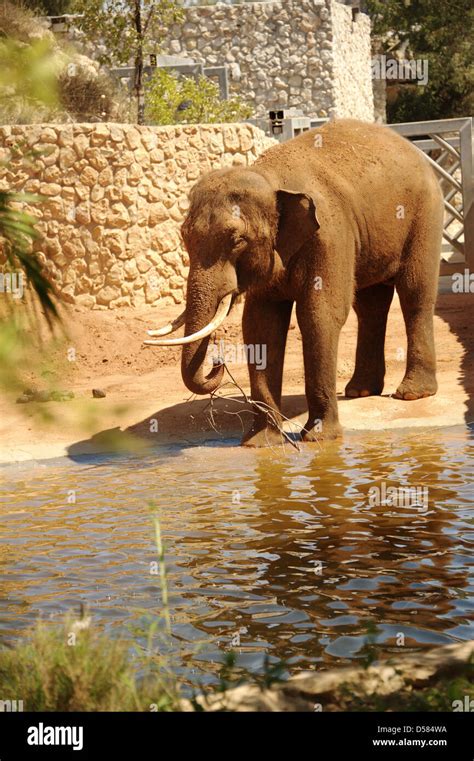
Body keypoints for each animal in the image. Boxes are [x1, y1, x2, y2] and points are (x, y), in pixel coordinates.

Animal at [144, 119, 444, 448]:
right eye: (184, 237)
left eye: (237, 241)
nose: (217, 362)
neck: (270, 176)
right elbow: (260, 324)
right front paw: (260, 443)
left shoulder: (329, 234)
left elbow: (319, 314)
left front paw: (319, 439)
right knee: (370, 304)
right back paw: (360, 391)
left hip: (426, 214)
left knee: (414, 293)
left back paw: (412, 394)